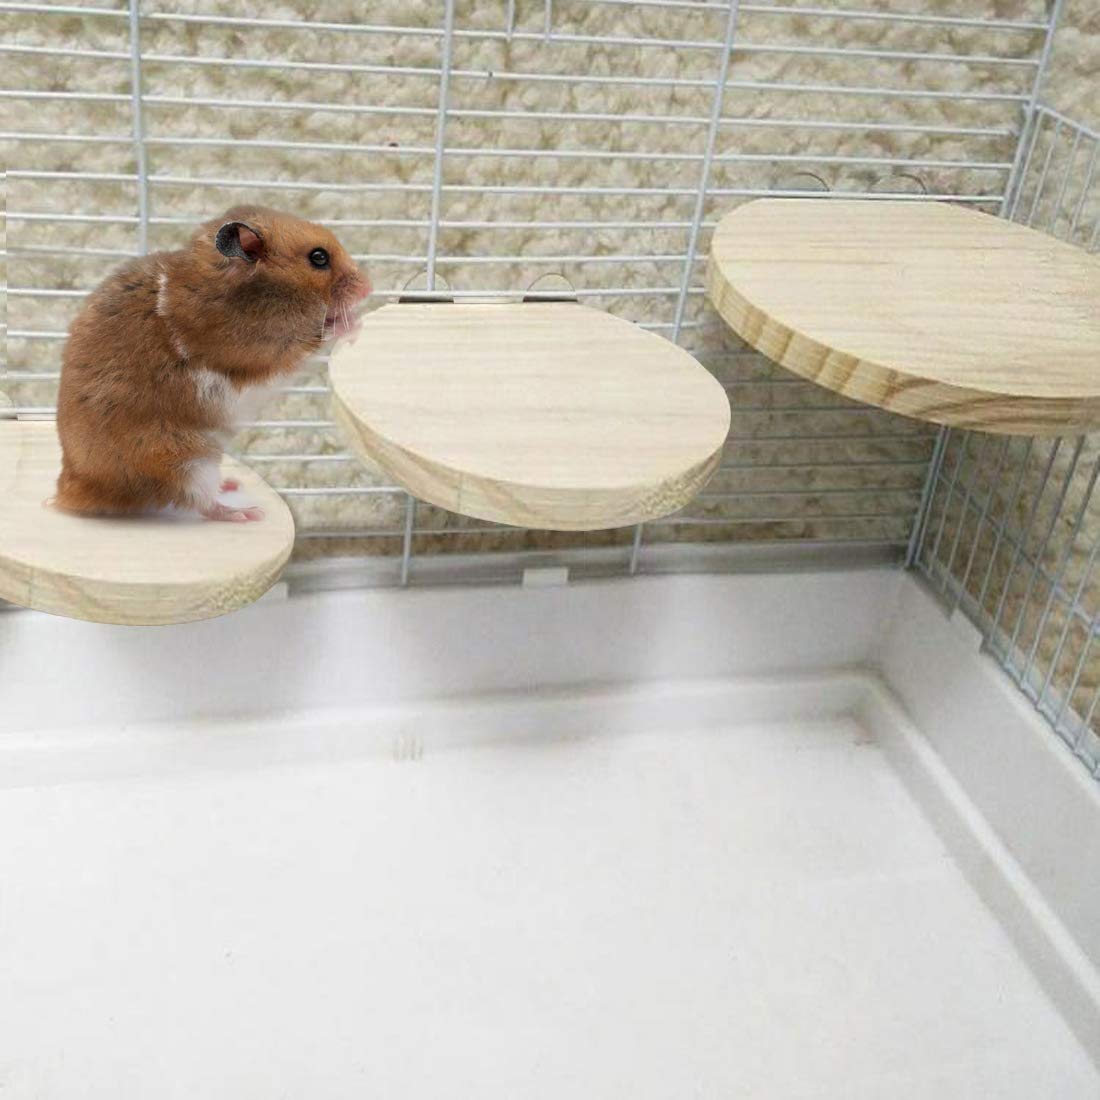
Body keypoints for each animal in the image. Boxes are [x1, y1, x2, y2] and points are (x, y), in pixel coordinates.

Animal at [55, 205, 370, 522]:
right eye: (319, 257)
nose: (368, 288)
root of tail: (71, 490)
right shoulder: (265, 351)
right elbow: (314, 339)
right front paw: (352, 325)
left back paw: (231, 484)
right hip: (185, 461)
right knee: (201, 502)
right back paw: (246, 513)